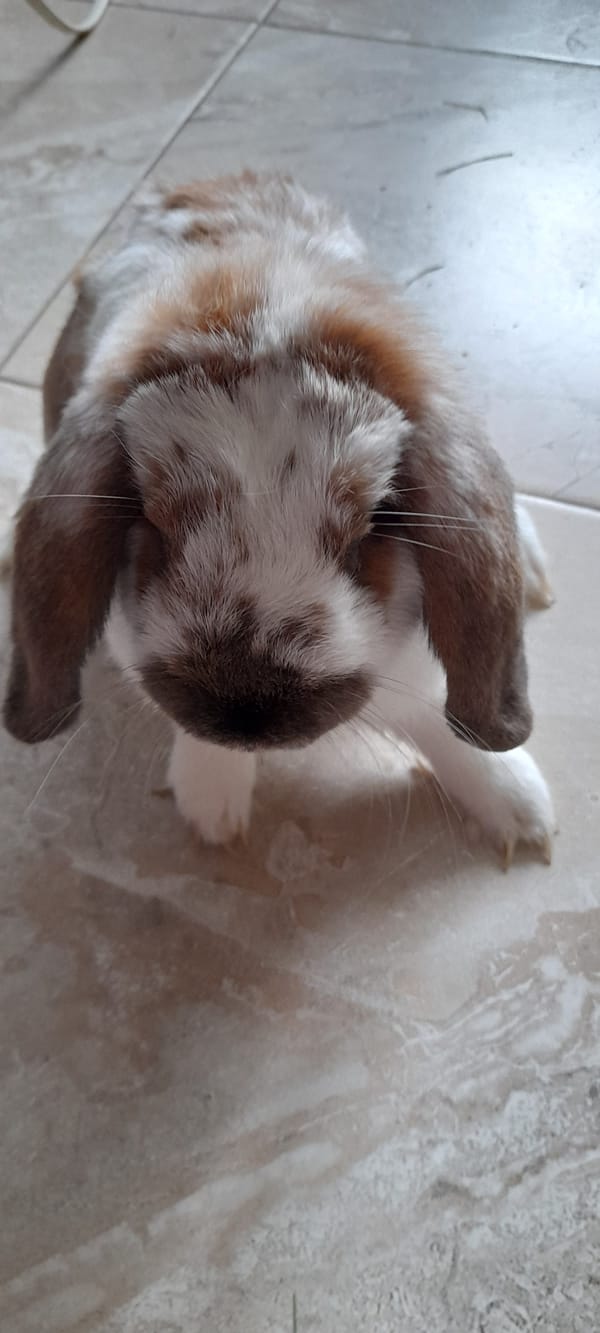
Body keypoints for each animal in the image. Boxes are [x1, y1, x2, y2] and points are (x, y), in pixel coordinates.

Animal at [3, 171, 555, 864]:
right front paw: (214, 805)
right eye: (153, 518)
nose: (246, 713)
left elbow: (438, 715)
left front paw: (521, 811)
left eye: (371, 524)